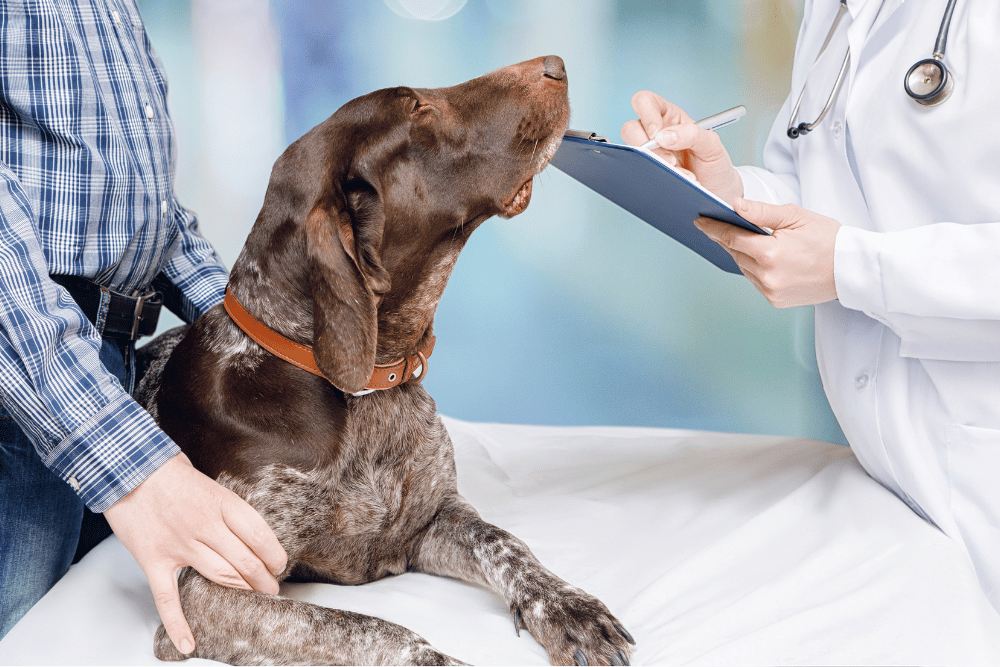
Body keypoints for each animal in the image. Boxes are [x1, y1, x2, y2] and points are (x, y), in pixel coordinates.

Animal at [135, 57, 632, 667]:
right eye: (418, 110)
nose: (555, 65)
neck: (366, 389)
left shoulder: (431, 519)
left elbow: (506, 543)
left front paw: (567, 607)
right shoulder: (204, 590)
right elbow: (362, 627)